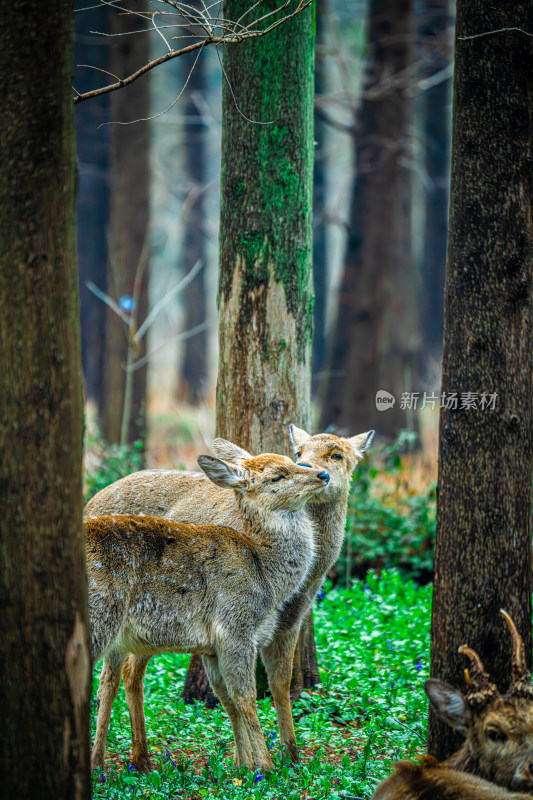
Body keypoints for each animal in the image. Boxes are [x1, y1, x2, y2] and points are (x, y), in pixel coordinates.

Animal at [84, 424, 374, 768]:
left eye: (336, 454)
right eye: (293, 459)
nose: (320, 474)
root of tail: (90, 501)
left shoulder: (269, 629)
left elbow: (259, 691)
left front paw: (264, 761)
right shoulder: (235, 628)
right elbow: (247, 697)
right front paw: (266, 766)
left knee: (123, 675)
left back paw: (134, 760)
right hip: (104, 620)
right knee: (106, 678)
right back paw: (107, 761)